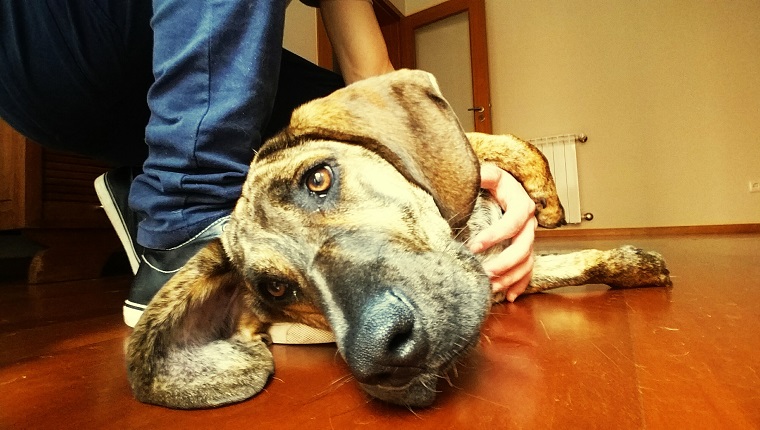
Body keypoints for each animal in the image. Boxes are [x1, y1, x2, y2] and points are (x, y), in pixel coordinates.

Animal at [124, 69, 672, 410]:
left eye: (318, 179)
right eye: (275, 289)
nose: (381, 356)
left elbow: (497, 144)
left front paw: (549, 200)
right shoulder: (498, 279)